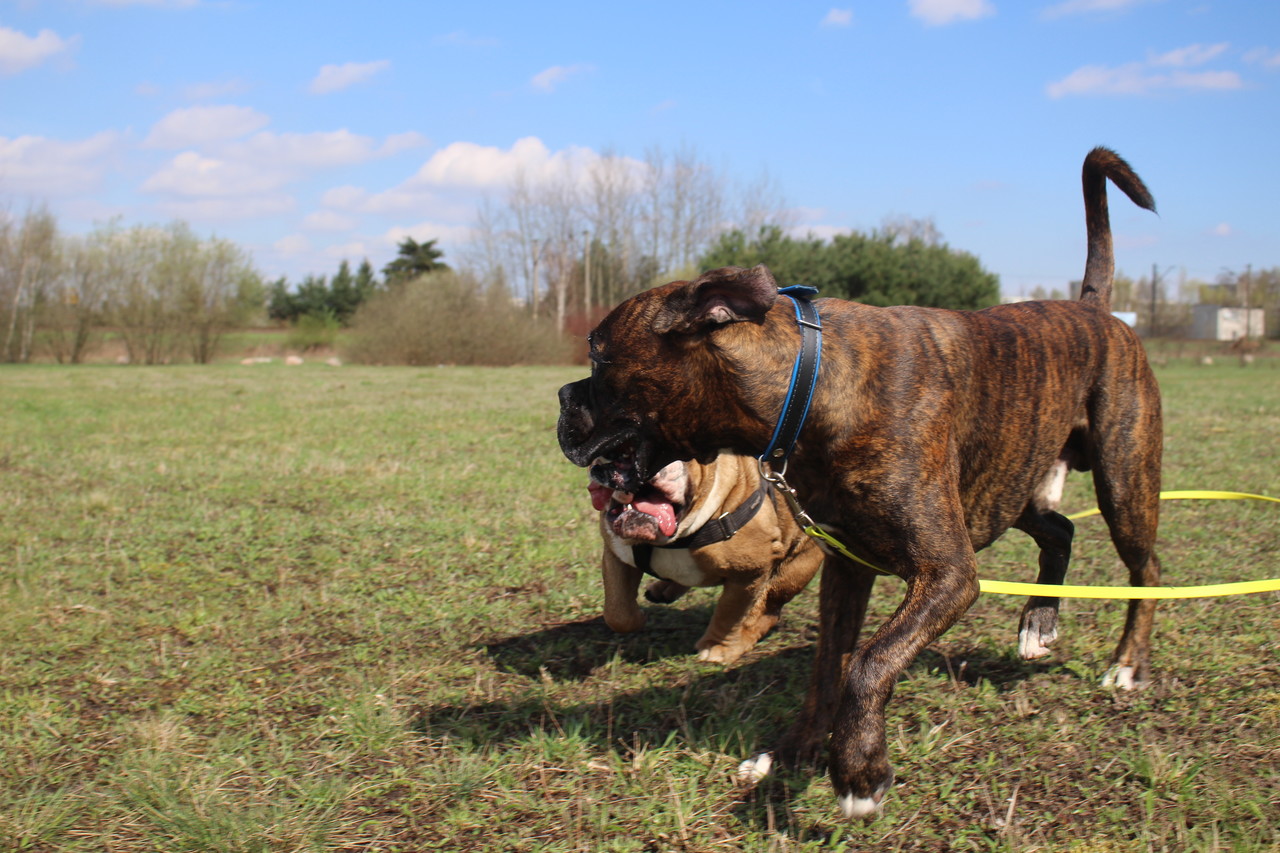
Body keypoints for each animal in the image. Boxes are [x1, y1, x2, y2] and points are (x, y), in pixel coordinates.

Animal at [592, 450, 823, 665]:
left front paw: (717, 647)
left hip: (795, 569)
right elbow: (618, 611)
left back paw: (744, 638)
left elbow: (730, 613)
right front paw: (638, 617)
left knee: (768, 608)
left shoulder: (748, 574)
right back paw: (664, 589)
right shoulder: (615, 554)